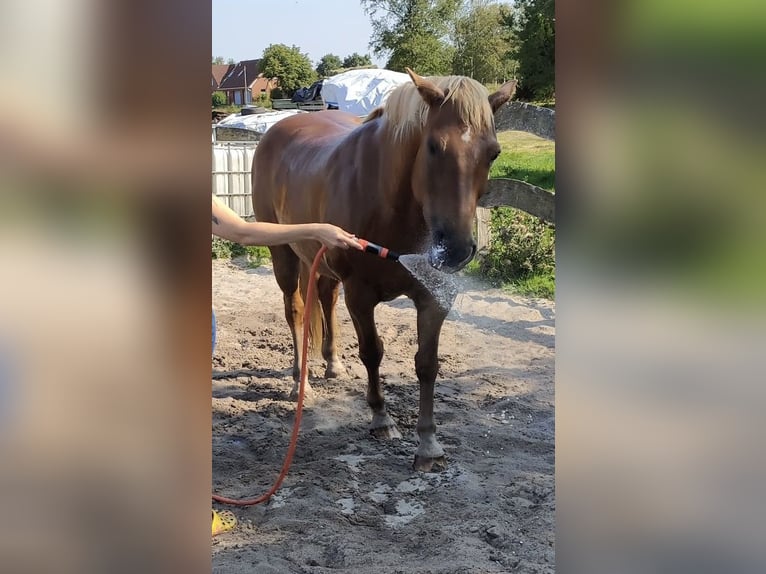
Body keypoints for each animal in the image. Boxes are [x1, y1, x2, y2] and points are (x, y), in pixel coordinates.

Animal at [255, 70, 520, 472]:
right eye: (434, 147)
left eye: (494, 153)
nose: (456, 250)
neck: (392, 205)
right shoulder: (361, 295)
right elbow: (372, 352)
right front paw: (381, 419)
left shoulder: (432, 297)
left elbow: (426, 363)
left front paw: (428, 443)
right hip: (283, 253)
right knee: (297, 310)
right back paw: (302, 382)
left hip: (320, 261)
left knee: (325, 300)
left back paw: (333, 364)